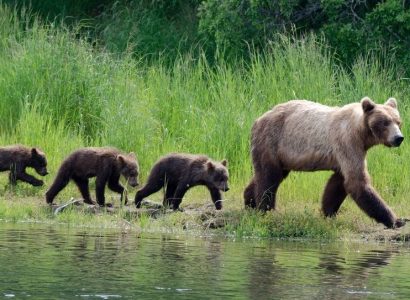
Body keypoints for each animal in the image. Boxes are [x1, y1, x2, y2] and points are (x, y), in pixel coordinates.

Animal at [245, 97, 406, 229]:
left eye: (398, 122)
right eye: (385, 122)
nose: (398, 138)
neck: (362, 134)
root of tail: (258, 119)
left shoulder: (347, 153)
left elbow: (338, 183)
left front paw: (328, 212)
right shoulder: (347, 142)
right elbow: (357, 182)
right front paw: (396, 220)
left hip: (282, 154)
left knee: (268, 175)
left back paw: (249, 202)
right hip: (272, 140)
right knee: (269, 177)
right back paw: (266, 209)